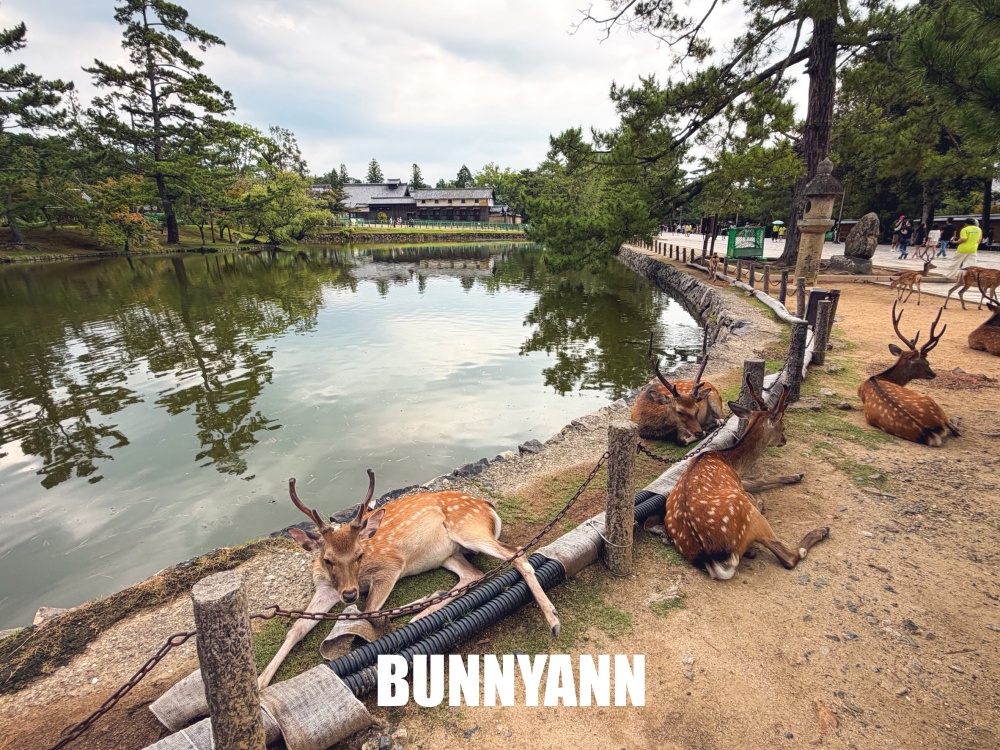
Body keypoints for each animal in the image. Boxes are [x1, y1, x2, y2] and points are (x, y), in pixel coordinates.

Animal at [258, 470, 560, 688]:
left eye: (359, 554)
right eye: (327, 559)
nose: (349, 594)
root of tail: (487, 507)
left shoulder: (391, 564)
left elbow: (370, 611)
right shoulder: (325, 589)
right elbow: (296, 629)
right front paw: (261, 682)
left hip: (468, 528)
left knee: (516, 553)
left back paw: (553, 620)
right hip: (447, 554)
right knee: (473, 574)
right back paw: (424, 611)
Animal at [662, 380, 829, 579]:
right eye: (782, 426)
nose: (784, 440)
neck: (729, 460)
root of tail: (710, 559)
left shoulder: (739, 480)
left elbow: (758, 479)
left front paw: (796, 475)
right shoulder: (739, 483)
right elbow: (760, 480)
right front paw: (797, 476)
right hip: (751, 516)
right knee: (789, 557)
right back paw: (821, 530)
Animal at [856, 302, 959, 446]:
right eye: (927, 363)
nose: (934, 374)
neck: (879, 377)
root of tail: (929, 431)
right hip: (931, 401)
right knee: (954, 429)